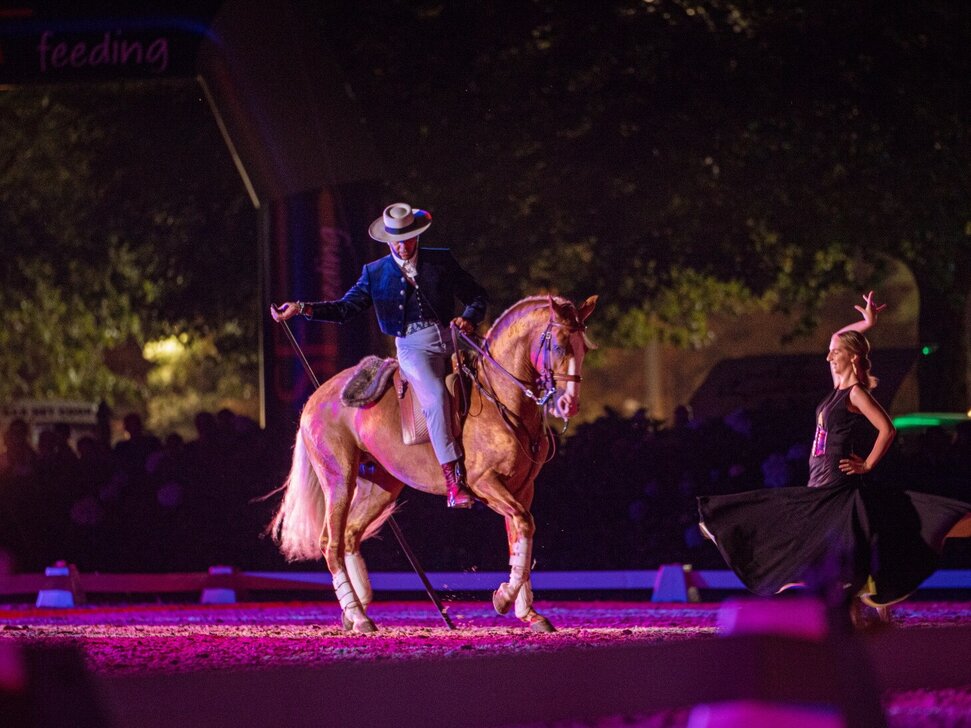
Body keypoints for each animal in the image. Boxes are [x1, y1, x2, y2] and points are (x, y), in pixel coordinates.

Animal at [268, 293, 598, 633]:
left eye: (583, 348)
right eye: (558, 346)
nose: (568, 404)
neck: (503, 400)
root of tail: (315, 399)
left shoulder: (522, 489)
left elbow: (520, 534)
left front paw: (529, 613)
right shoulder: (486, 483)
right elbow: (523, 523)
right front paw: (504, 599)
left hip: (381, 485)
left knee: (349, 536)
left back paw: (354, 610)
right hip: (339, 478)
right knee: (330, 543)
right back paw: (359, 616)